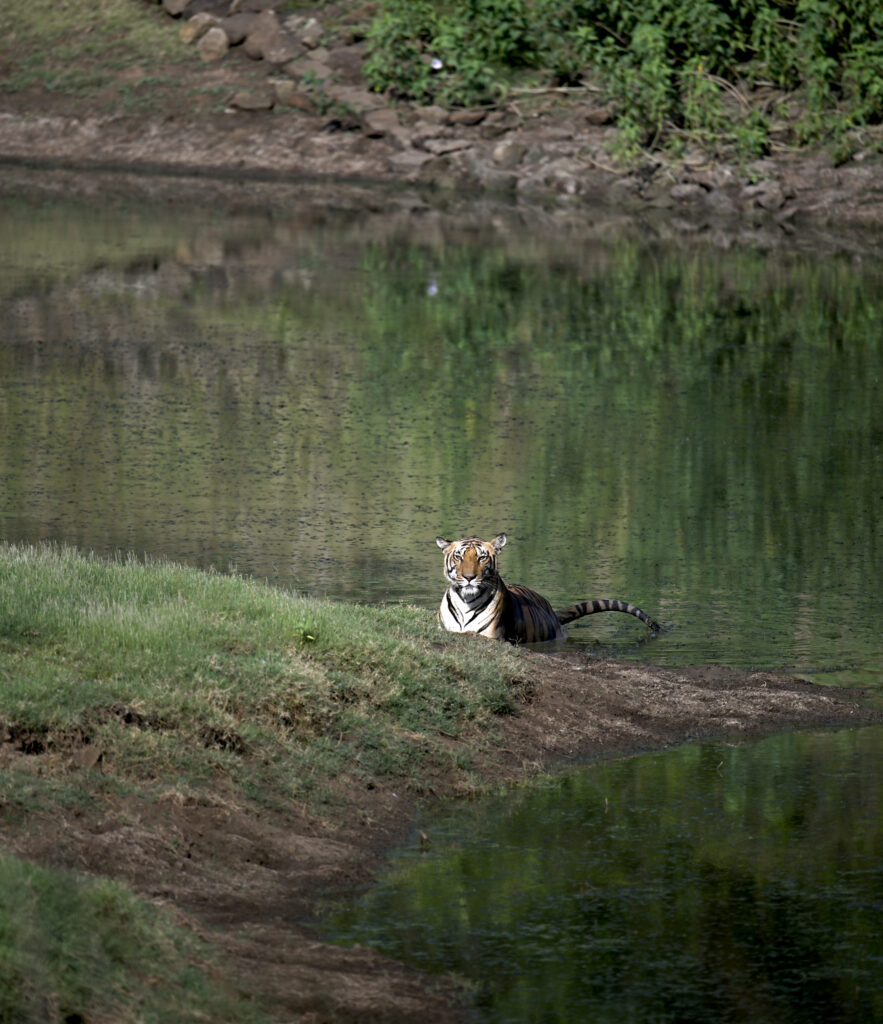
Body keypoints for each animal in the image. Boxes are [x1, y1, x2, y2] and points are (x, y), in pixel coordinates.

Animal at [438, 532, 659, 643]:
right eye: (458, 557)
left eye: (482, 557)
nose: (469, 577)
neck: (466, 601)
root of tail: (552, 611)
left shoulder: (492, 636)